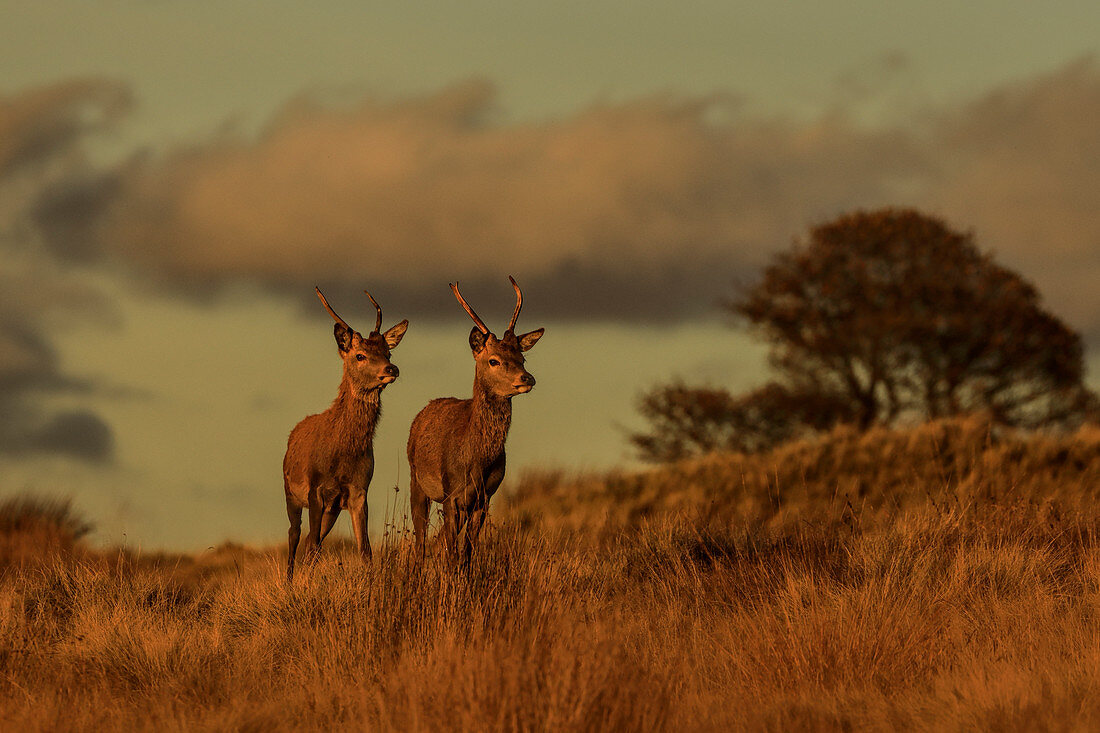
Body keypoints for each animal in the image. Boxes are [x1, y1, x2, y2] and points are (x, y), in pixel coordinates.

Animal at [281, 288, 407, 581]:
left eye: (388, 352)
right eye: (359, 355)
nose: (391, 370)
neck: (341, 455)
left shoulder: (359, 491)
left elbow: (365, 550)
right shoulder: (316, 489)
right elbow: (310, 545)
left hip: (333, 508)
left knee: (311, 541)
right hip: (290, 492)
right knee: (295, 535)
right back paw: (290, 579)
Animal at [407, 274, 543, 563]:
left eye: (522, 358)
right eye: (493, 360)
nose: (527, 378)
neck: (476, 460)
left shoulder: (485, 497)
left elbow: (467, 551)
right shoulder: (451, 495)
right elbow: (451, 551)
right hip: (416, 480)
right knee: (420, 540)